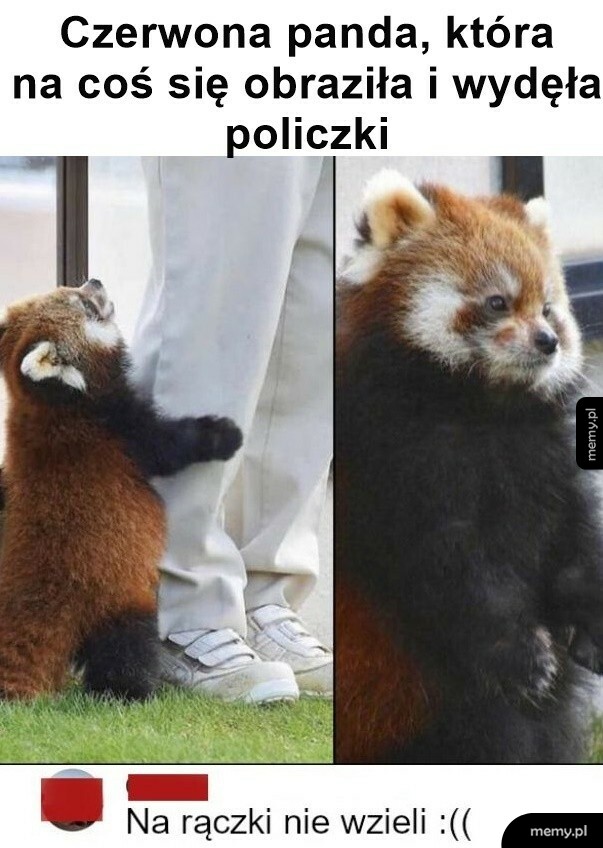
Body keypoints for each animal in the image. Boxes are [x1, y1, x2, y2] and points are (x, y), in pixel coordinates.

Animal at [0, 279, 242, 700]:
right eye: (84, 303)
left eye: (73, 287)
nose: (94, 281)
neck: (52, 404)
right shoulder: (123, 433)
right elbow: (173, 446)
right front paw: (223, 434)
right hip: (113, 596)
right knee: (125, 646)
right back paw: (130, 693)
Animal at [336, 171, 603, 764]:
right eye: (498, 301)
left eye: (548, 309)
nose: (548, 342)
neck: (487, 410)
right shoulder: (386, 453)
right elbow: (448, 562)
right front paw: (521, 655)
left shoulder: (549, 450)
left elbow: (578, 532)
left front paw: (592, 622)